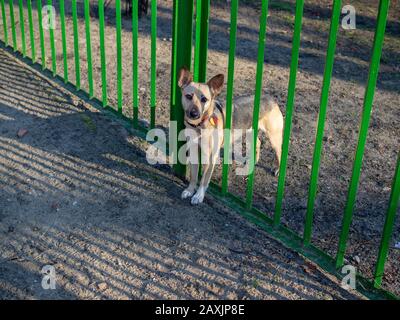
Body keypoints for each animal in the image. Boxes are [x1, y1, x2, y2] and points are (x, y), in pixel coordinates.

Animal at [178, 67, 284, 205]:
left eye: (204, 99)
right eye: (188, 96)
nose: (194, 114)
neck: (200, 126)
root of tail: (270, 97)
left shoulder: (211, 157)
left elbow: (204, 180)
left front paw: (199, 195)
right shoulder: (194, 150)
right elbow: (193, 176)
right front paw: (190, 190)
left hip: (273, 136)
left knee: (279, 151)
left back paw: (278, 169)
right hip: (249, 131)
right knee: (259, 142)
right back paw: (253, 162)